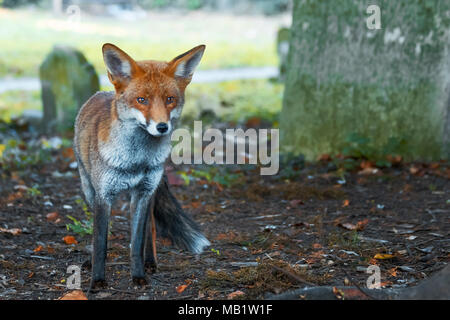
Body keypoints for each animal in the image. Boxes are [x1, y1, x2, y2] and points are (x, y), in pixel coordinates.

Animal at [74, 42, 209, 288]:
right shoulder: (103, 196)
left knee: (151, 228)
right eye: (142, 100)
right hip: (88, 189)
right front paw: (97, 280)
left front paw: (138, 276)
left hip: (149, 194)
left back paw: (150, 262)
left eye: (169, 99)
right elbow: (100, 242)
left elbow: (136, 242)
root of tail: (102, 92)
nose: (162, 127)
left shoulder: (143, 193)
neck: (136, 160)